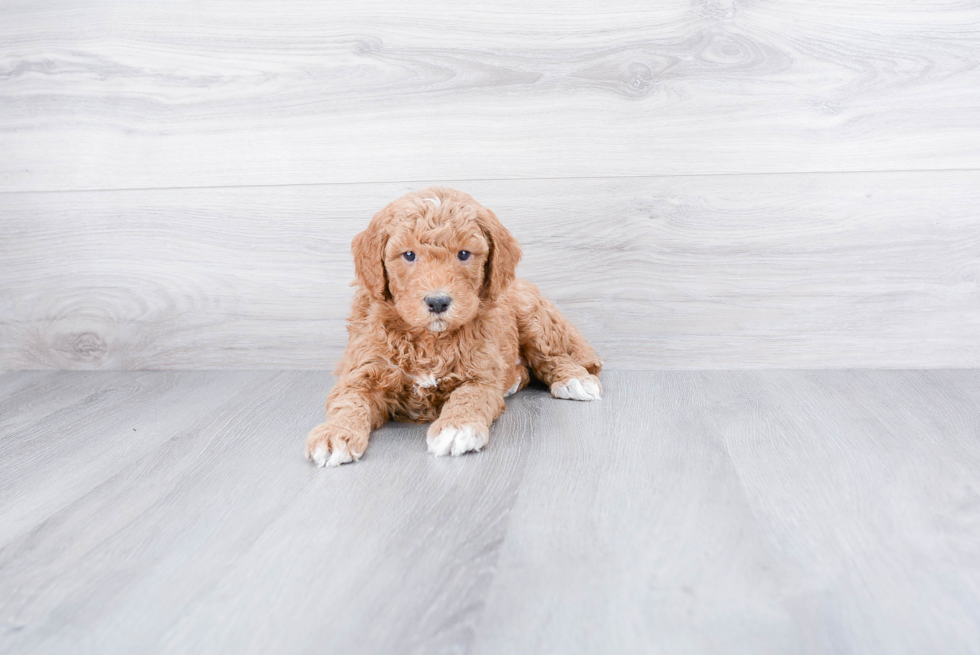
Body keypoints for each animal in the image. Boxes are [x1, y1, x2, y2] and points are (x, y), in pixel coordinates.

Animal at [306, 187, 600, 468]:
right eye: (409, 255)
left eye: (463, 254)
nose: (438, 301)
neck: (429, 340)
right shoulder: (363, 370)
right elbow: (348, 401)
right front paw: (335, 434)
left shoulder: (480, 373)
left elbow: (470, 396)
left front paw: (457, 428)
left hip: (532, 314)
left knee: (553, 356)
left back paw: (575, 380)